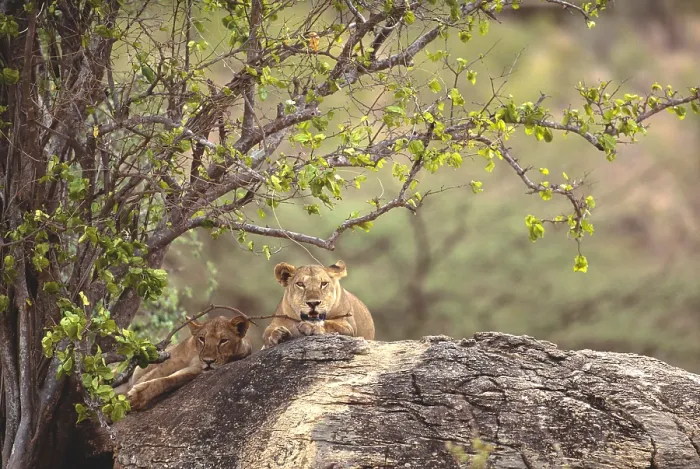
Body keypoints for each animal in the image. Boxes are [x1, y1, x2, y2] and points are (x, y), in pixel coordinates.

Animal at [116, 315, 252, 410]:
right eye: (202, 339)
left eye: (223, 340)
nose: (208, 361)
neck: (195, 355)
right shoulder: (167, 363)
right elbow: (149, 377)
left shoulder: (194, 371)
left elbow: (168, 381)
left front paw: (137, 396)